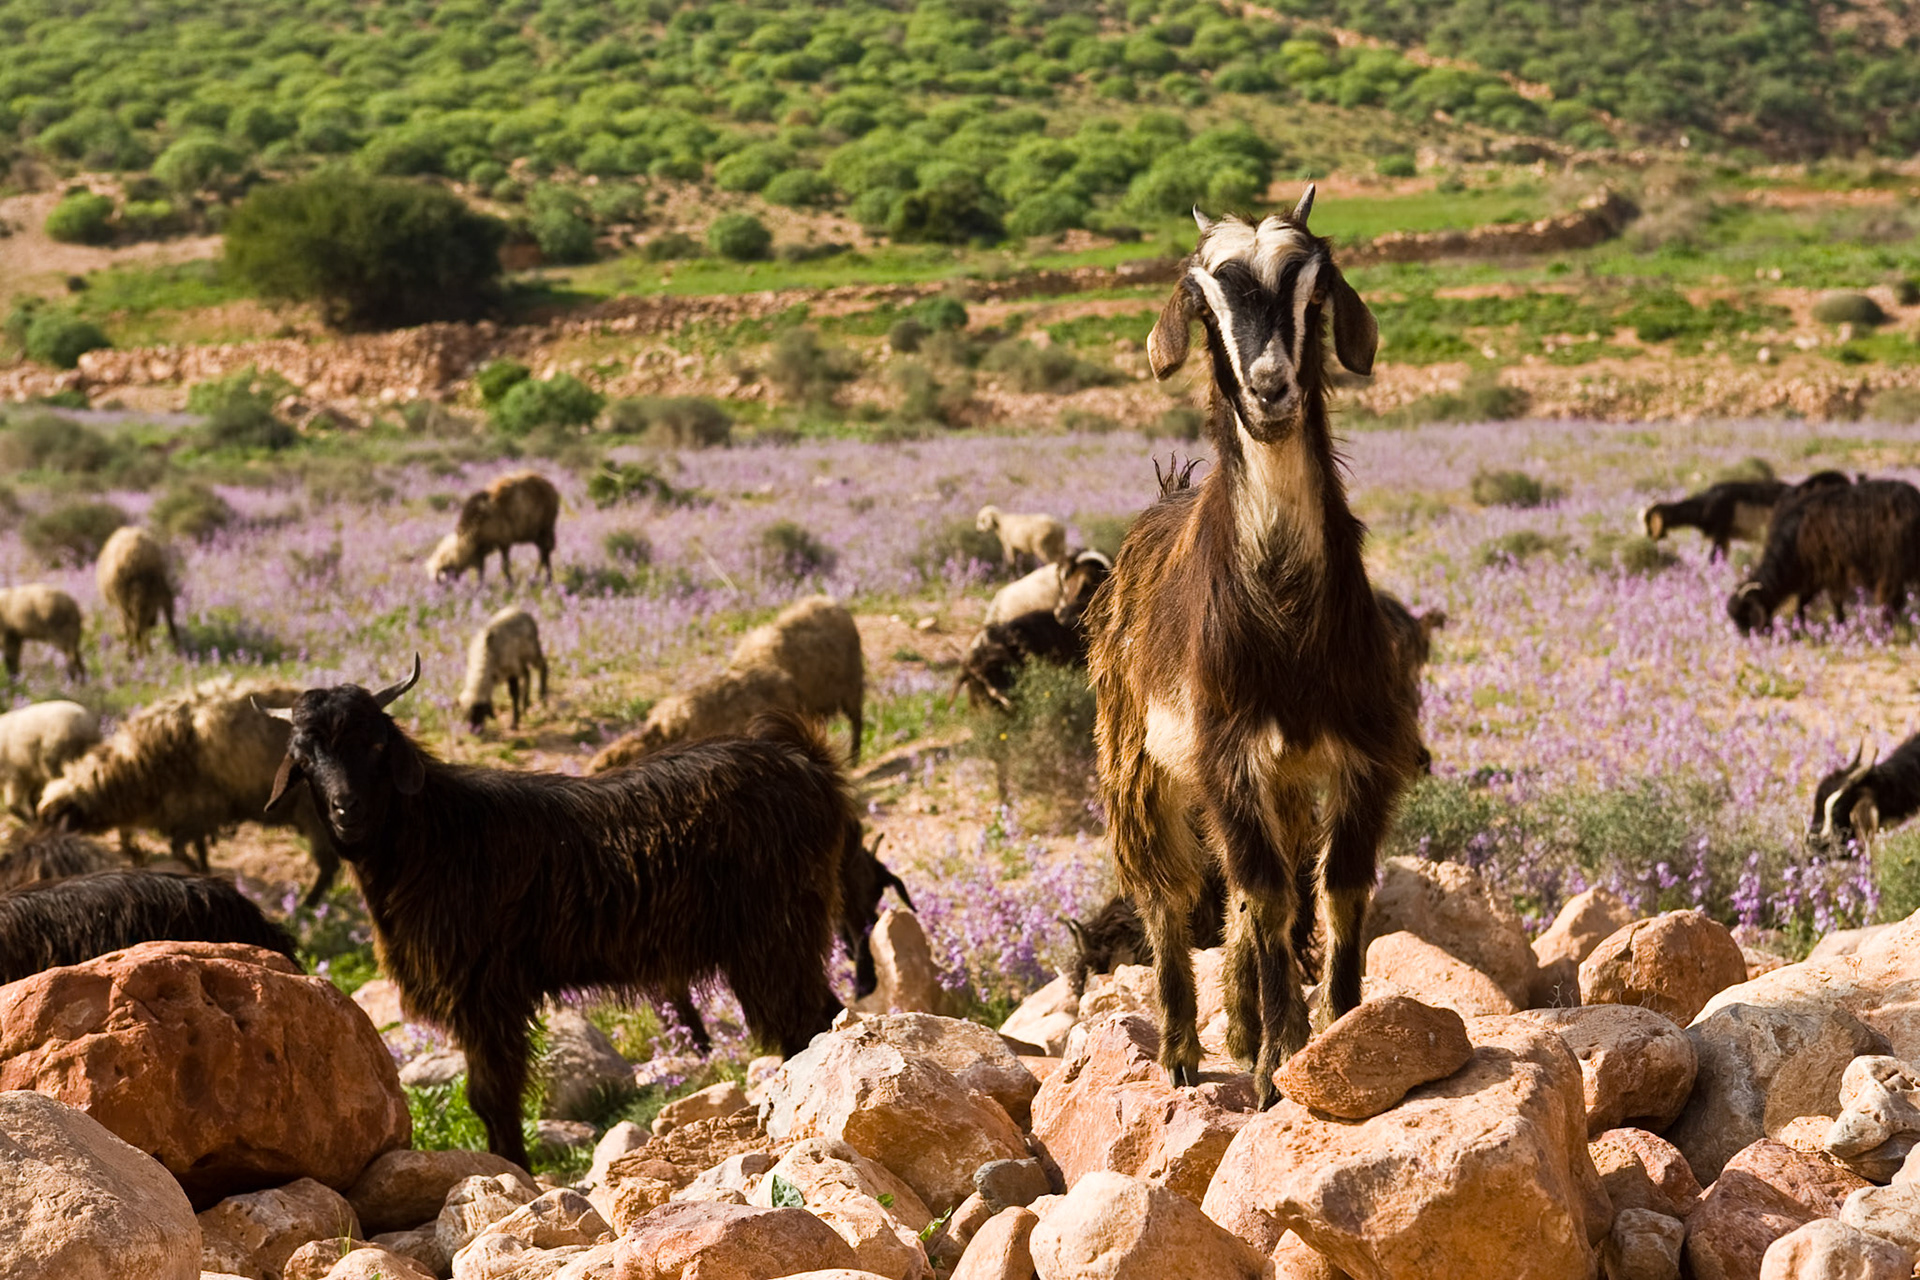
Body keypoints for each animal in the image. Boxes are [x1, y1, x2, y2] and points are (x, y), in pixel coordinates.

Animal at [37, 677, 342, 906]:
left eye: (55, 821)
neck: (134, 768)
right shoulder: (194, 815)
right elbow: (195, 848)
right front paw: (204, 871)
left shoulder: (197, 809)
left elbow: (180, 849)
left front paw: (198, 871)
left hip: (314, 815)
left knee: (328, 866)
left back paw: (308, 906)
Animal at [260, 658, 856, 1167]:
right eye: (305, 757)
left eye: (377, 743)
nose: (347, 809)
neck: (437, 835)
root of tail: (807, 762)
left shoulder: (485, 992)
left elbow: (492, 1095)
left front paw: (514, 1170)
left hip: (774, 937)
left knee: (808, 1019)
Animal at [428, 471, 560, 584]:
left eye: (445, 579)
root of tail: (551, 487)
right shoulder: (481, 549)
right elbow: (481, 571)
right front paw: (480, 588)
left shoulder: (504, 542)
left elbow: (504, 567)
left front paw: (510, 585)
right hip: (535, 533)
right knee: (544, 553)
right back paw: (542, 580)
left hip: (545, 528)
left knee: (545, 552)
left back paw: (541, 581)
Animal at [1086, 191, 1423, 1106]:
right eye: (1202, 302)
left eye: (1316, 288)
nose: (1271, 389)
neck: (1284, 613)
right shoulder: (1226, 752)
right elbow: (1269, 897)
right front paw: (1279, 1061)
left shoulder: (1357, 753)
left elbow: (1340, 891)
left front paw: (1341, 1026)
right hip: (1134, 761)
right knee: (1165, 894)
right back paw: (1183, 1048)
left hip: (1280, 783)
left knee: (1239, 887)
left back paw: (1239, 1018)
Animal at [1727, 478, 1920, 634]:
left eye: (1745, 616)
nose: (1748, 639)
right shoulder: (1812, 574)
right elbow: (1803, 600)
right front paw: (1801, 626)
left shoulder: (1832, 569)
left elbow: (1835, 600)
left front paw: (1840, 625)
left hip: (1892, 565)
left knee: (1890, 601)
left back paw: (1884, 630)